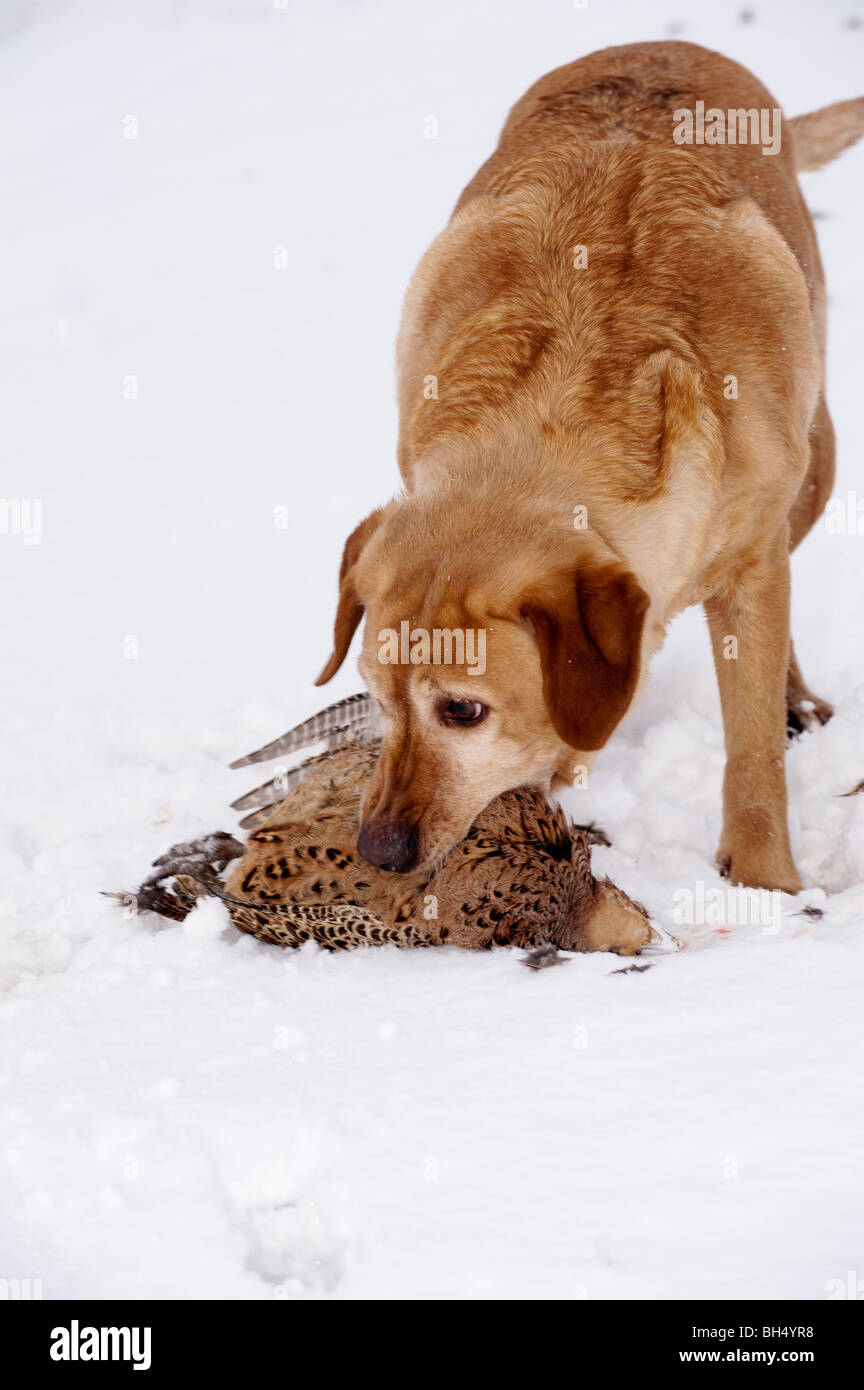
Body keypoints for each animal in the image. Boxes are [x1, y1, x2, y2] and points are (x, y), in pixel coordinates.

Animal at [318, 43, 864, 895]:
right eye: (373, 694)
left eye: (463, 710)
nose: (379, 852)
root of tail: (667, 46)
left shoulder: (751, 560)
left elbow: (751, 751)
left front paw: (765, 885)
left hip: (814, 478)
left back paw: (795, 702)